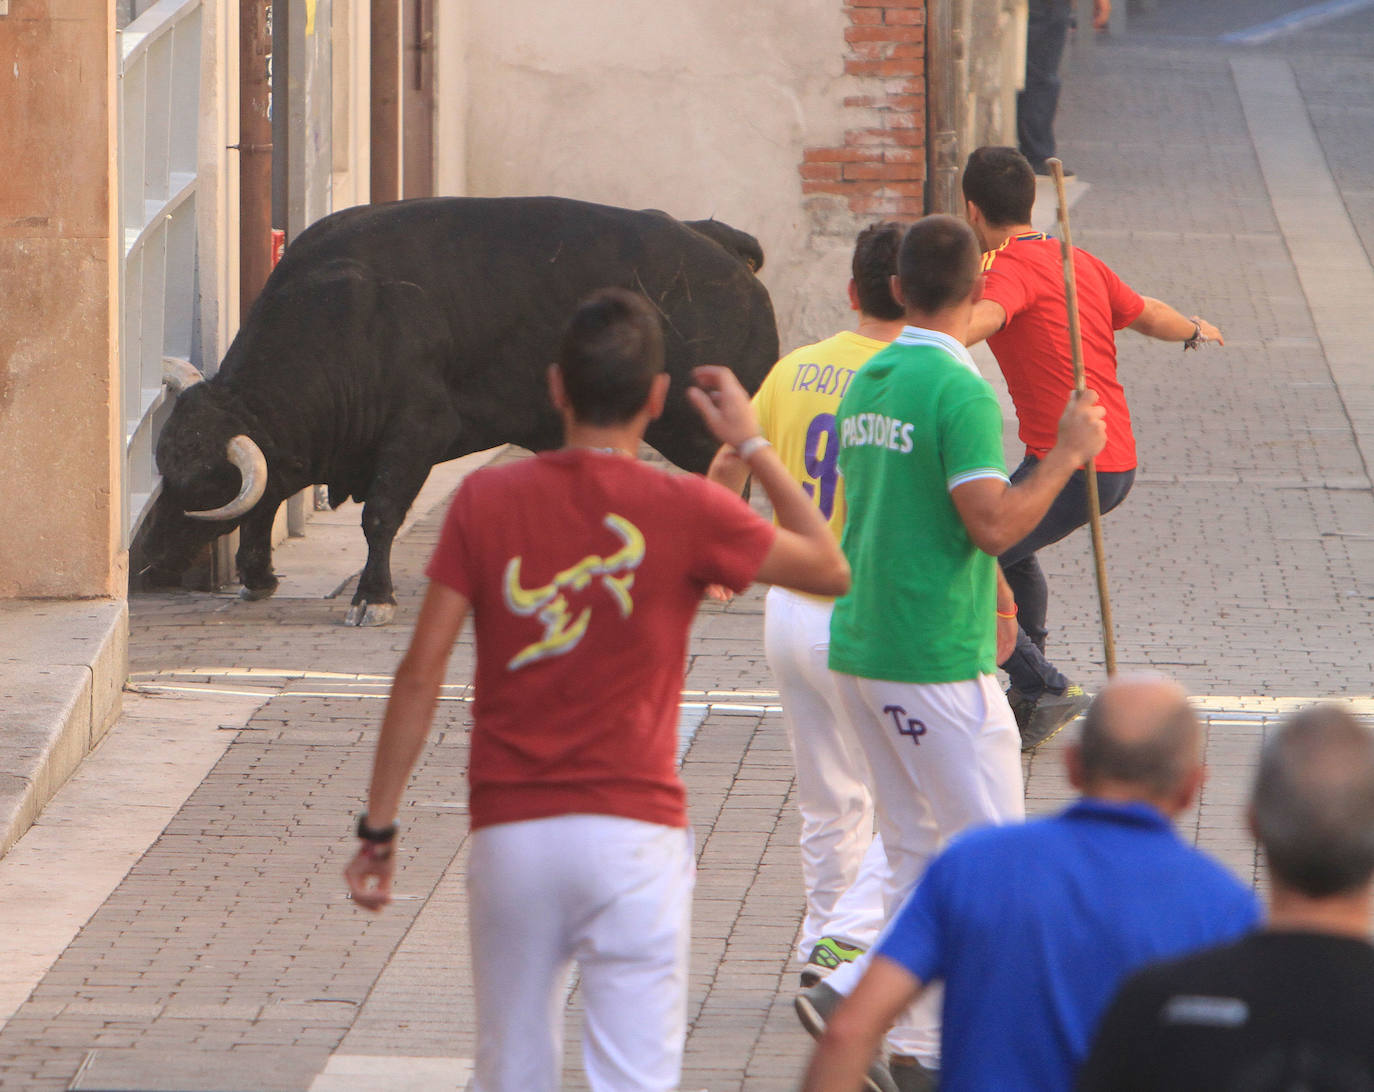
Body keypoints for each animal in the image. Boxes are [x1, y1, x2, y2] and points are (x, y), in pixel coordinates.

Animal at [143, 193, 780, 623]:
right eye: (163, 471)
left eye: (202, 485)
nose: (145, 560)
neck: (353, 310)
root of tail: (715, 239)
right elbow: (265, 502)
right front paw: (257, 576)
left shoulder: (415, 433)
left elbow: (380, 515)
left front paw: (373, 597)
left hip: (699, 427)